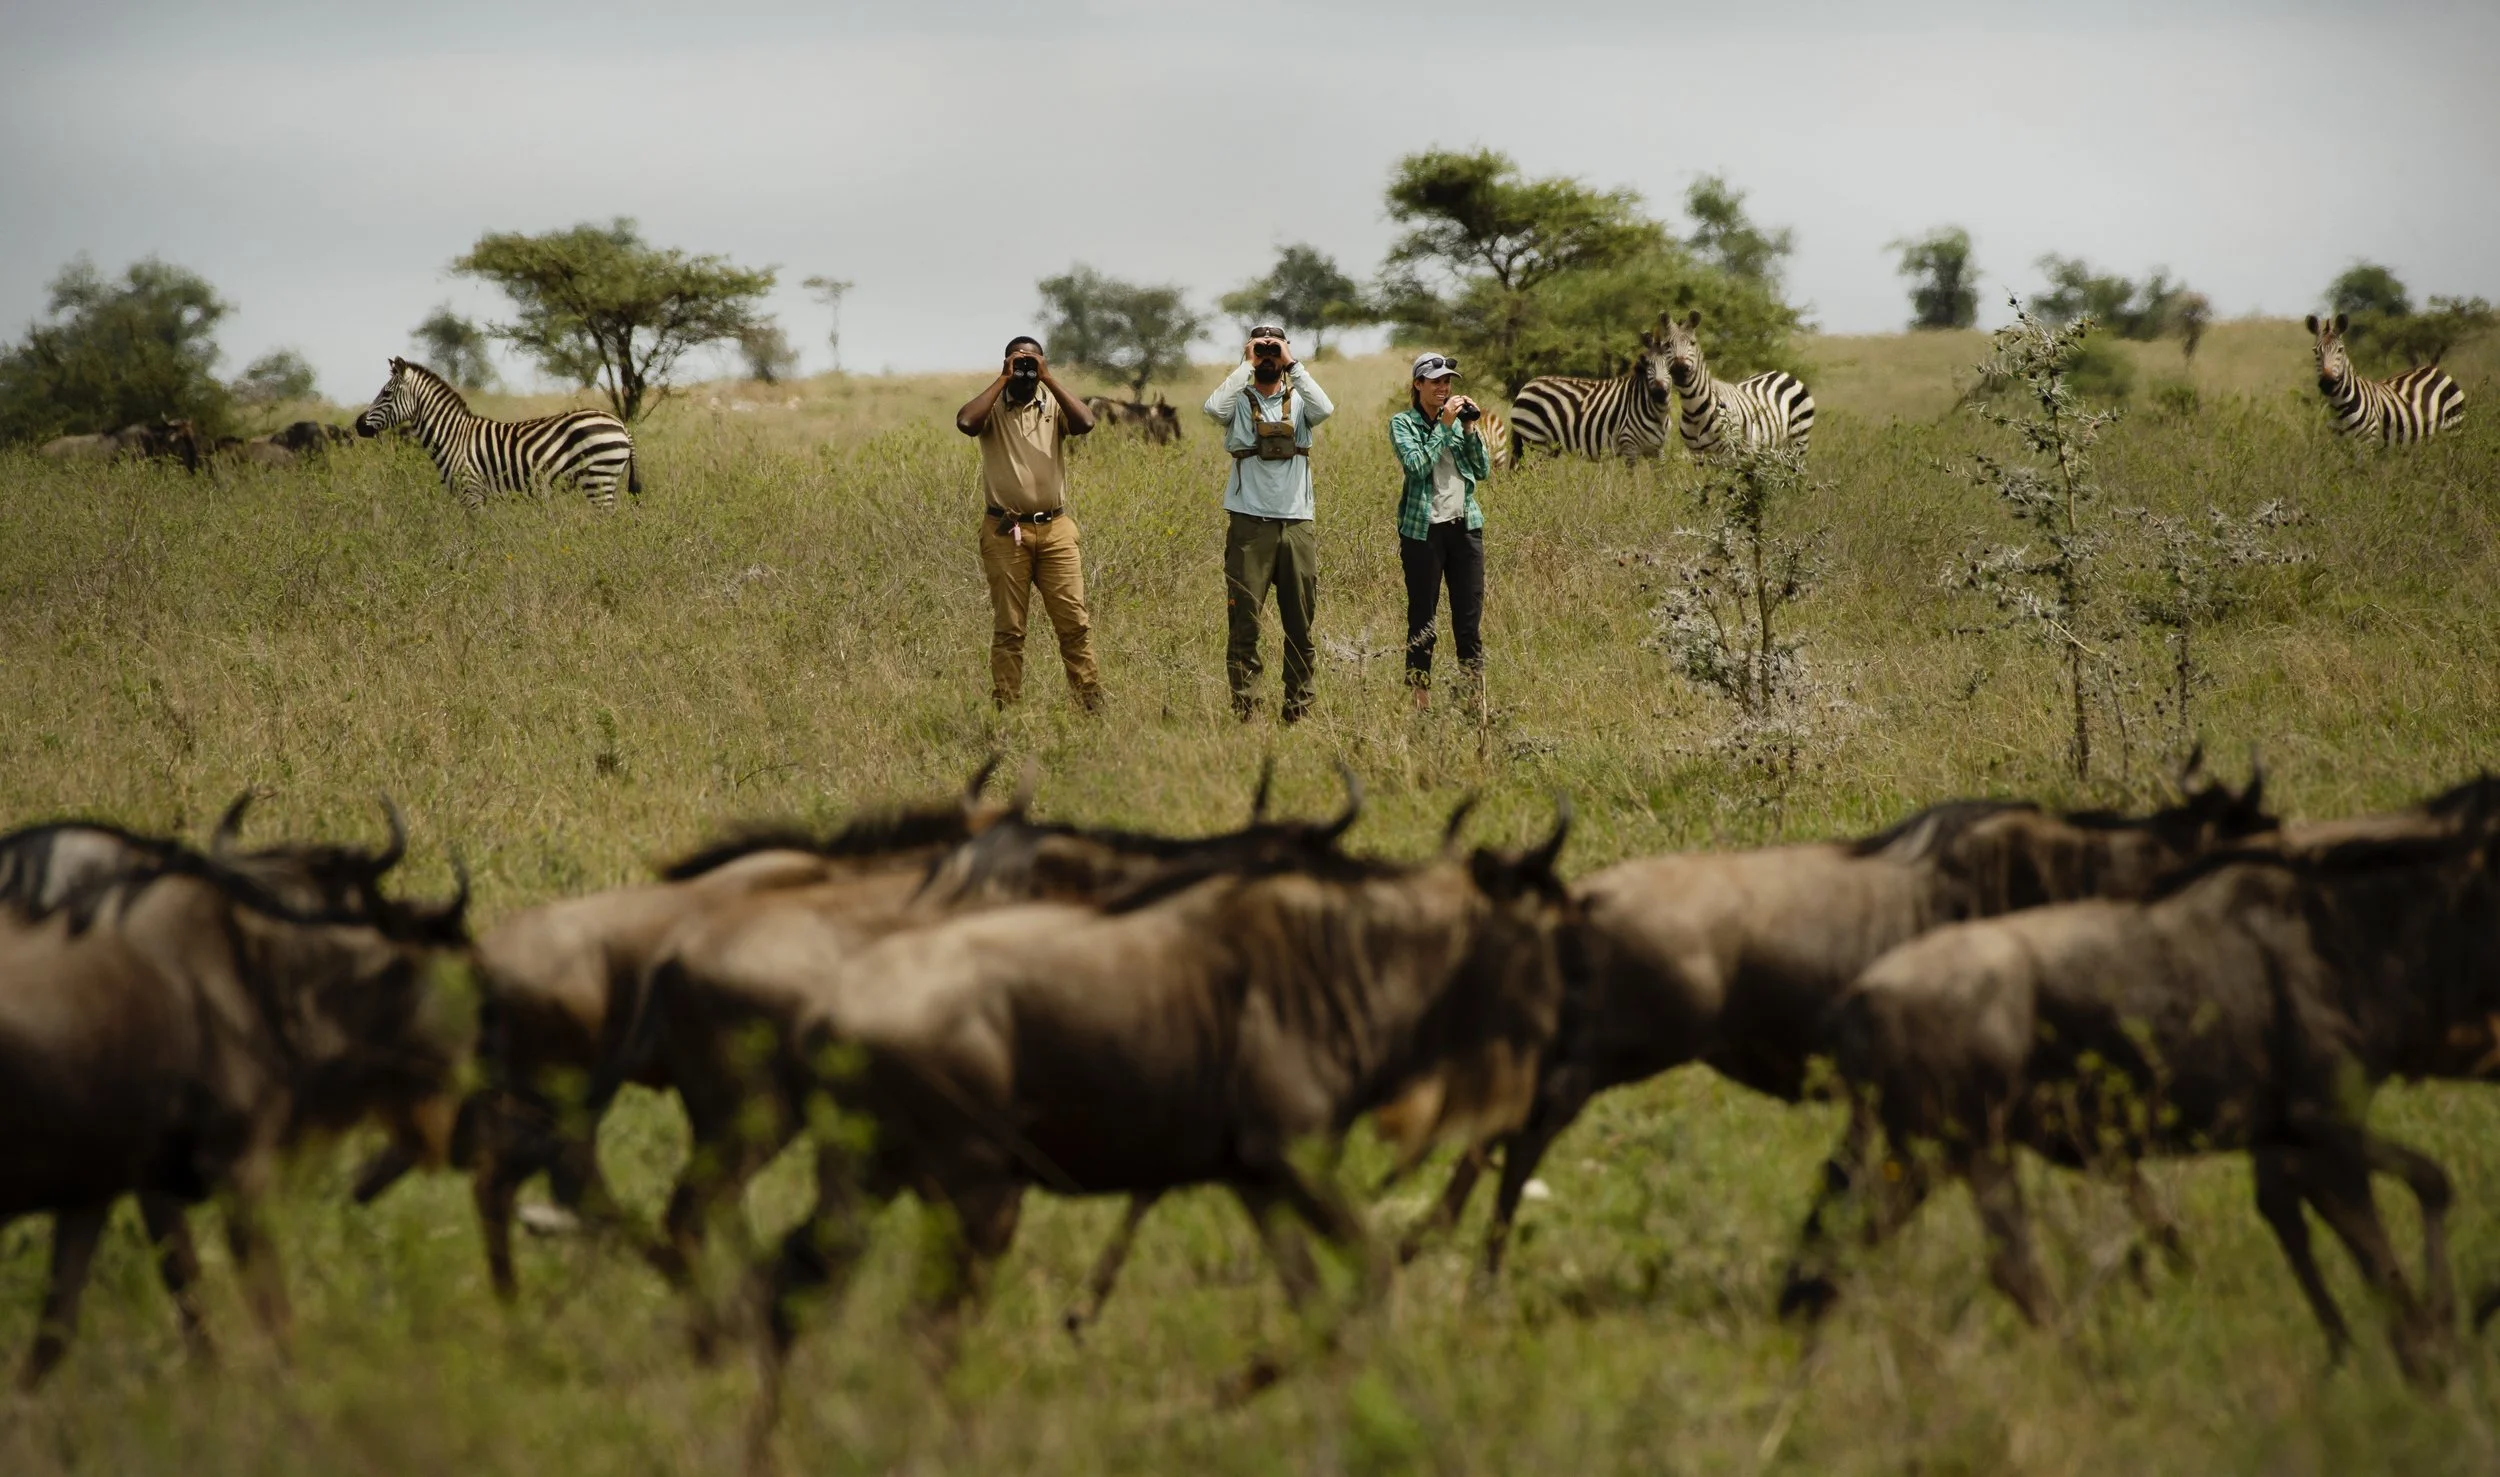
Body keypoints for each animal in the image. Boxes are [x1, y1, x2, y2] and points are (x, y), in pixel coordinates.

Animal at [355, 358, 639, 509]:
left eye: (386, 394)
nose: (358, 424)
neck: (452, 437)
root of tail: (620, 424)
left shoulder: (471, 492)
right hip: (604, 479)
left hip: (598, 478)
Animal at [1507, 334, 1674, 462]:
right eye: (1648, 364)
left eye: (1669, 364)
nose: (1660, 393)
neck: (1655, 412)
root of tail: (1525, 388)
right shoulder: (1629, 445)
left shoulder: (1657, 449)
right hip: (1537, 441)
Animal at [1657, 309, 1814, 457]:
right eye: (1667, 345)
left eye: (1692, 343)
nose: (1680, 370)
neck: (1695, 412)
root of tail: (1784, 373)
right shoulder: (1697, 455)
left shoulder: (1729, 453)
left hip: (1798, 443)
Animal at [2306, 312, 2464, 444]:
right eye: (2315, 351)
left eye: (2340, 350)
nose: (2327, 383)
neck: (2339, 405)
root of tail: (2434, 369)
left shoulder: (2367, 441)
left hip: (2453, 429)